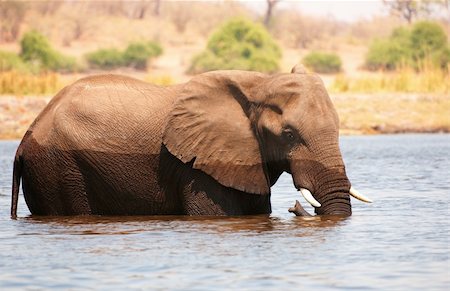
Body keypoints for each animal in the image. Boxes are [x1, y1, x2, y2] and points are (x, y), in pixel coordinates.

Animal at [10, 65, 370, 218]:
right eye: (289, 135)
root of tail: (25, 137)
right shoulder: (199, 170)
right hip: (58, 170)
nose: (295, 208)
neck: (258, 82)